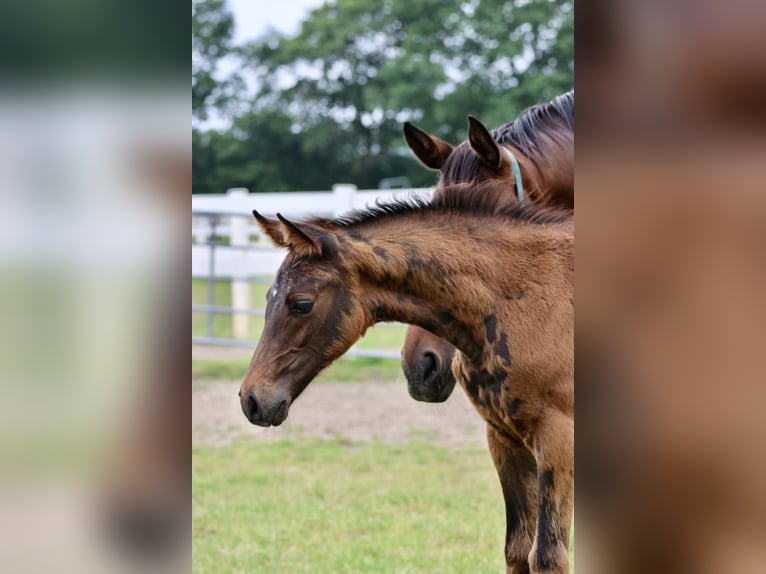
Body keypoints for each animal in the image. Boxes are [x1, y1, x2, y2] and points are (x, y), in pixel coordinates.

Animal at [242, 181, 576, 574]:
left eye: (301, 304)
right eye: (268, 297)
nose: (252, 399)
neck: (520, 299)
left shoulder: (558, 439)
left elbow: (548, 555)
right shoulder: (504, 439)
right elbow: (518, 550)